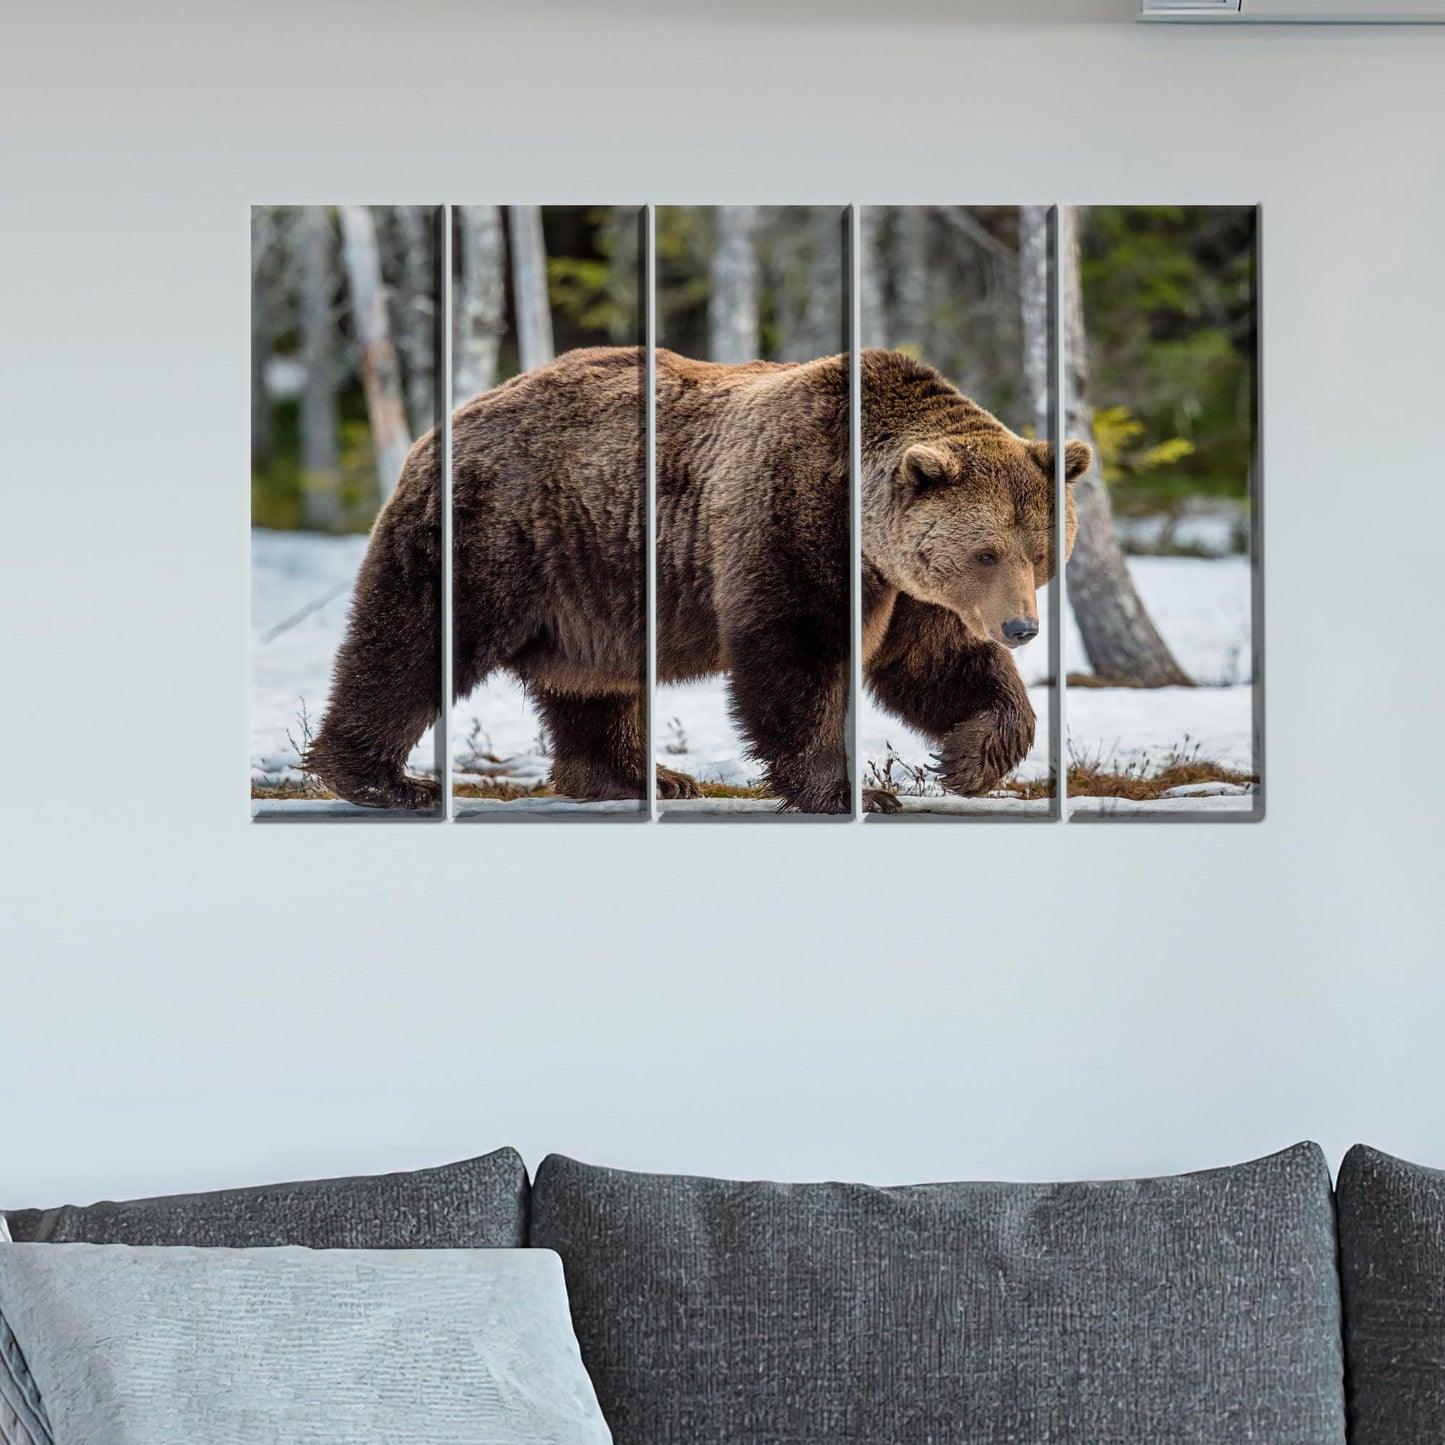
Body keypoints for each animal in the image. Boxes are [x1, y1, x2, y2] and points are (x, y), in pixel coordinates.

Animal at [305, 345, 1092, 813]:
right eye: (986, 551)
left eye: (1039, 551)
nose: (1022, 626)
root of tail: (448, 421)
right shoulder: (790, 521)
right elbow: (796, 660)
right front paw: (848, 790)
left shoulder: (907, 587)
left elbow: (937, 662)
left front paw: (965, 760)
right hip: (496, 535)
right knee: (413, 640)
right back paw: (382, 778)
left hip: (591, 585)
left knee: (593, 685)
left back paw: (643, 776)